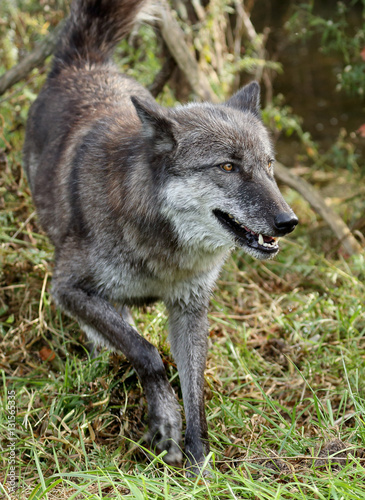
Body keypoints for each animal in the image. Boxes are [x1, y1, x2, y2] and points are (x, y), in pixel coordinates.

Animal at [22, 0, 296, 476]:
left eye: (268, 165)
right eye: (227, 166)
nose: (288, 222)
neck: (164, 248)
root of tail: (85, 63)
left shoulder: (190, 310)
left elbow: (196, 391)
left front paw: (200, 465)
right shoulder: (68, 289)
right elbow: (146, 352)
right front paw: (165, 424)